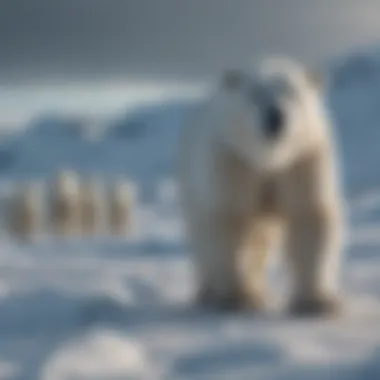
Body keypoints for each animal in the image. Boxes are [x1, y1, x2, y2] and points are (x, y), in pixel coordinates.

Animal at [178, 56, 344, 316]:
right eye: (255, 94)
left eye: (292, 93)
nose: (275, 117)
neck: (269, 160)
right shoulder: (233, 161)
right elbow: (230, 221)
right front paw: (237, 298)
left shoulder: (302, 160)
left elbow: (308, 217)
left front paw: (318, 302)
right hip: (192, 183)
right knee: (203, 236)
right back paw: (209, 293)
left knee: (261, 237)